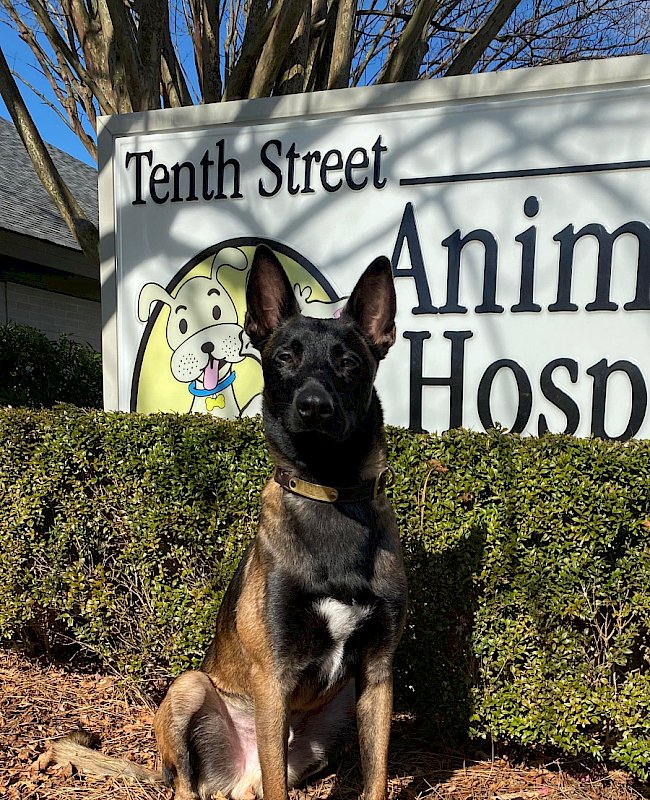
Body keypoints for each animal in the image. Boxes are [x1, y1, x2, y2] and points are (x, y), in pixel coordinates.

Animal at [53, 244, 404, 800]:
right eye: (285, 357)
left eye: (348, 362)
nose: (313, 407)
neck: (329, 494)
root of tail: (241, 773)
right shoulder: (273, 679)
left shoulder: (376, 675)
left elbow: (376, 778)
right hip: (191, 687)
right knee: (188, 784)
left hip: (334, 713)